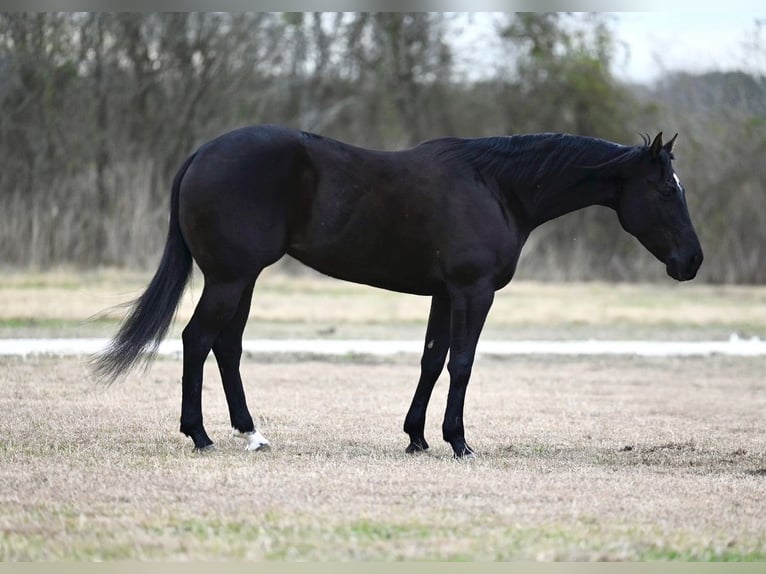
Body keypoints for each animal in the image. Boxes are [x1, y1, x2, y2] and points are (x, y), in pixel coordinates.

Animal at [93, 126, 704, 460]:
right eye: (663, 191)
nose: (692, 261)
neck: (497, 188)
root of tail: (201, 155)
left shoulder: (443, 295)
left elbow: (432, 360)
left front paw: (416, 438)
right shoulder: (473, 293)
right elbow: (462, 363)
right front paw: (458, 441)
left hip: (240, 279)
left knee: (226, 346)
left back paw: (251, 432)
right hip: (230, 278)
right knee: (198, 341)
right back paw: (199, 435)